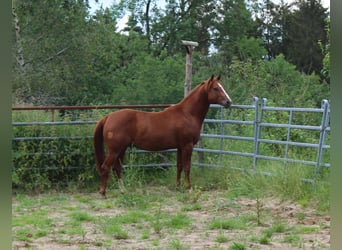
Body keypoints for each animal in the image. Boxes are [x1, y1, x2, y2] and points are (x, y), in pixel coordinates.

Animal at [93, 74, 232, 197]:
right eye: (216, 88)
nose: (229, 102)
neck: (187, 114)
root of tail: (108, 117)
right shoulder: (187, 146)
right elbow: (187, 167)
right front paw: (189, 188)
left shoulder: (180, 147)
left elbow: (179, 166)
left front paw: (178, 187)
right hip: (115, 150)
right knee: (106, 167)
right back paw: (103, 193)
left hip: (121, 149)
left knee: (117, 168)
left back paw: (123, 191)